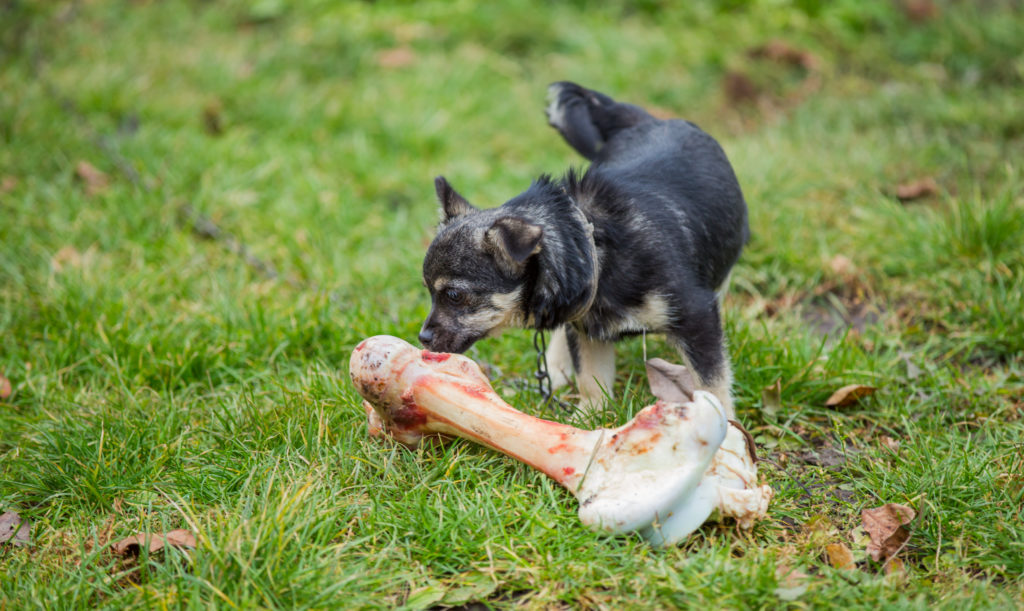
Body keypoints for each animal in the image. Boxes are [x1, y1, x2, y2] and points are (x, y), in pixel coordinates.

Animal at [419, 82, 749, 415]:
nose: (422, 338)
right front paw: (590, 416)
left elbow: (711, 381)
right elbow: (590, 377)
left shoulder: (698, 317)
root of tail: (649, 120)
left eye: (455, 296)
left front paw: (722, 421)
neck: (591, 247)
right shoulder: (587, 330)